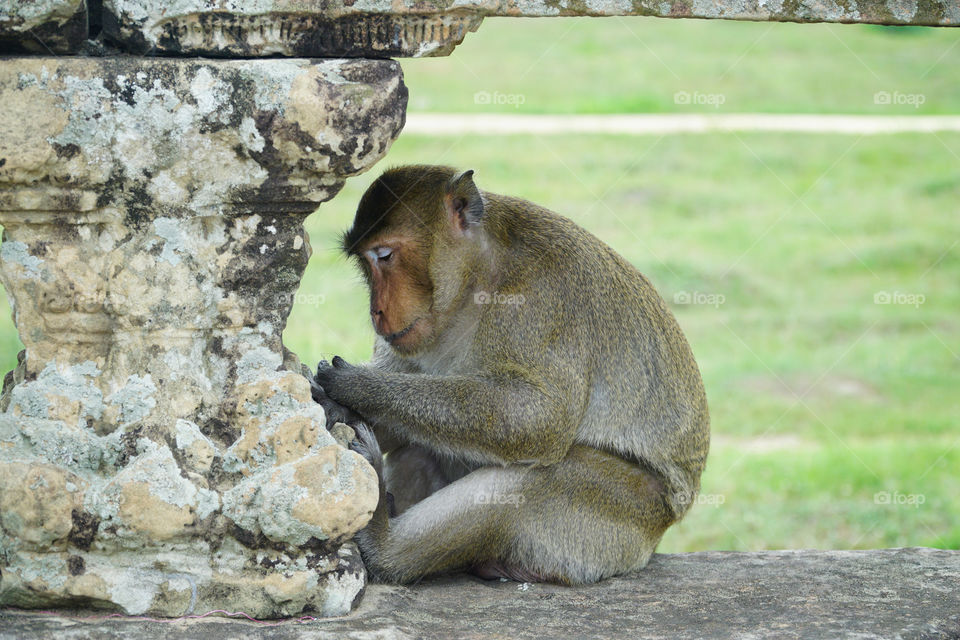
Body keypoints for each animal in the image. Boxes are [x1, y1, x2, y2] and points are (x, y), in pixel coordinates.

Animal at [313, 165, 709, 585]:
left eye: (385, 256)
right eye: (365, 263)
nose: (376, 311)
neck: (479, 279)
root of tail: (653, 541)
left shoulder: (539, 301)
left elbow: (539, 417)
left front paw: (358, 388)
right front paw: (338, 409)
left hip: (621, 519)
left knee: (539, 477)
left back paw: (383, 545)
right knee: (418, 448)